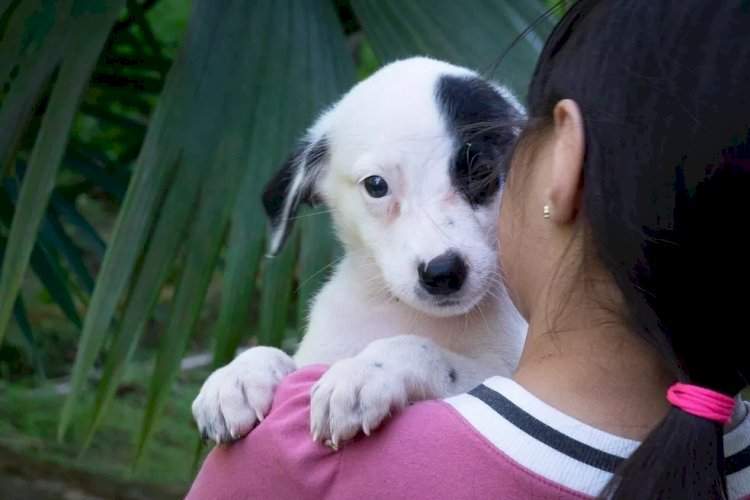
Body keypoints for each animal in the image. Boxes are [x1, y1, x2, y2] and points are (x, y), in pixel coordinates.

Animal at [194, 55, 528, 450]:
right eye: (376, 185)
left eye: (482, 172)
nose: (443, 273)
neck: (402, 310)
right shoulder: (317, 353)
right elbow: (277, 353)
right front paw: (237, 376)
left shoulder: (502, 376)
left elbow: (423, 349)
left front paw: (364, 371)